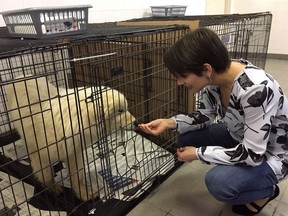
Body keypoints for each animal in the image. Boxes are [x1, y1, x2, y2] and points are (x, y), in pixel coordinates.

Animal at [5, 76, 136, 201]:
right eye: (120, 110)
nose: (136, 123)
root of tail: (22, 76)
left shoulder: (74, 151)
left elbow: (77, 175)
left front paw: (83, 192)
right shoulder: (41, 155)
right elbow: (47, 175)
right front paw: (53, 188)